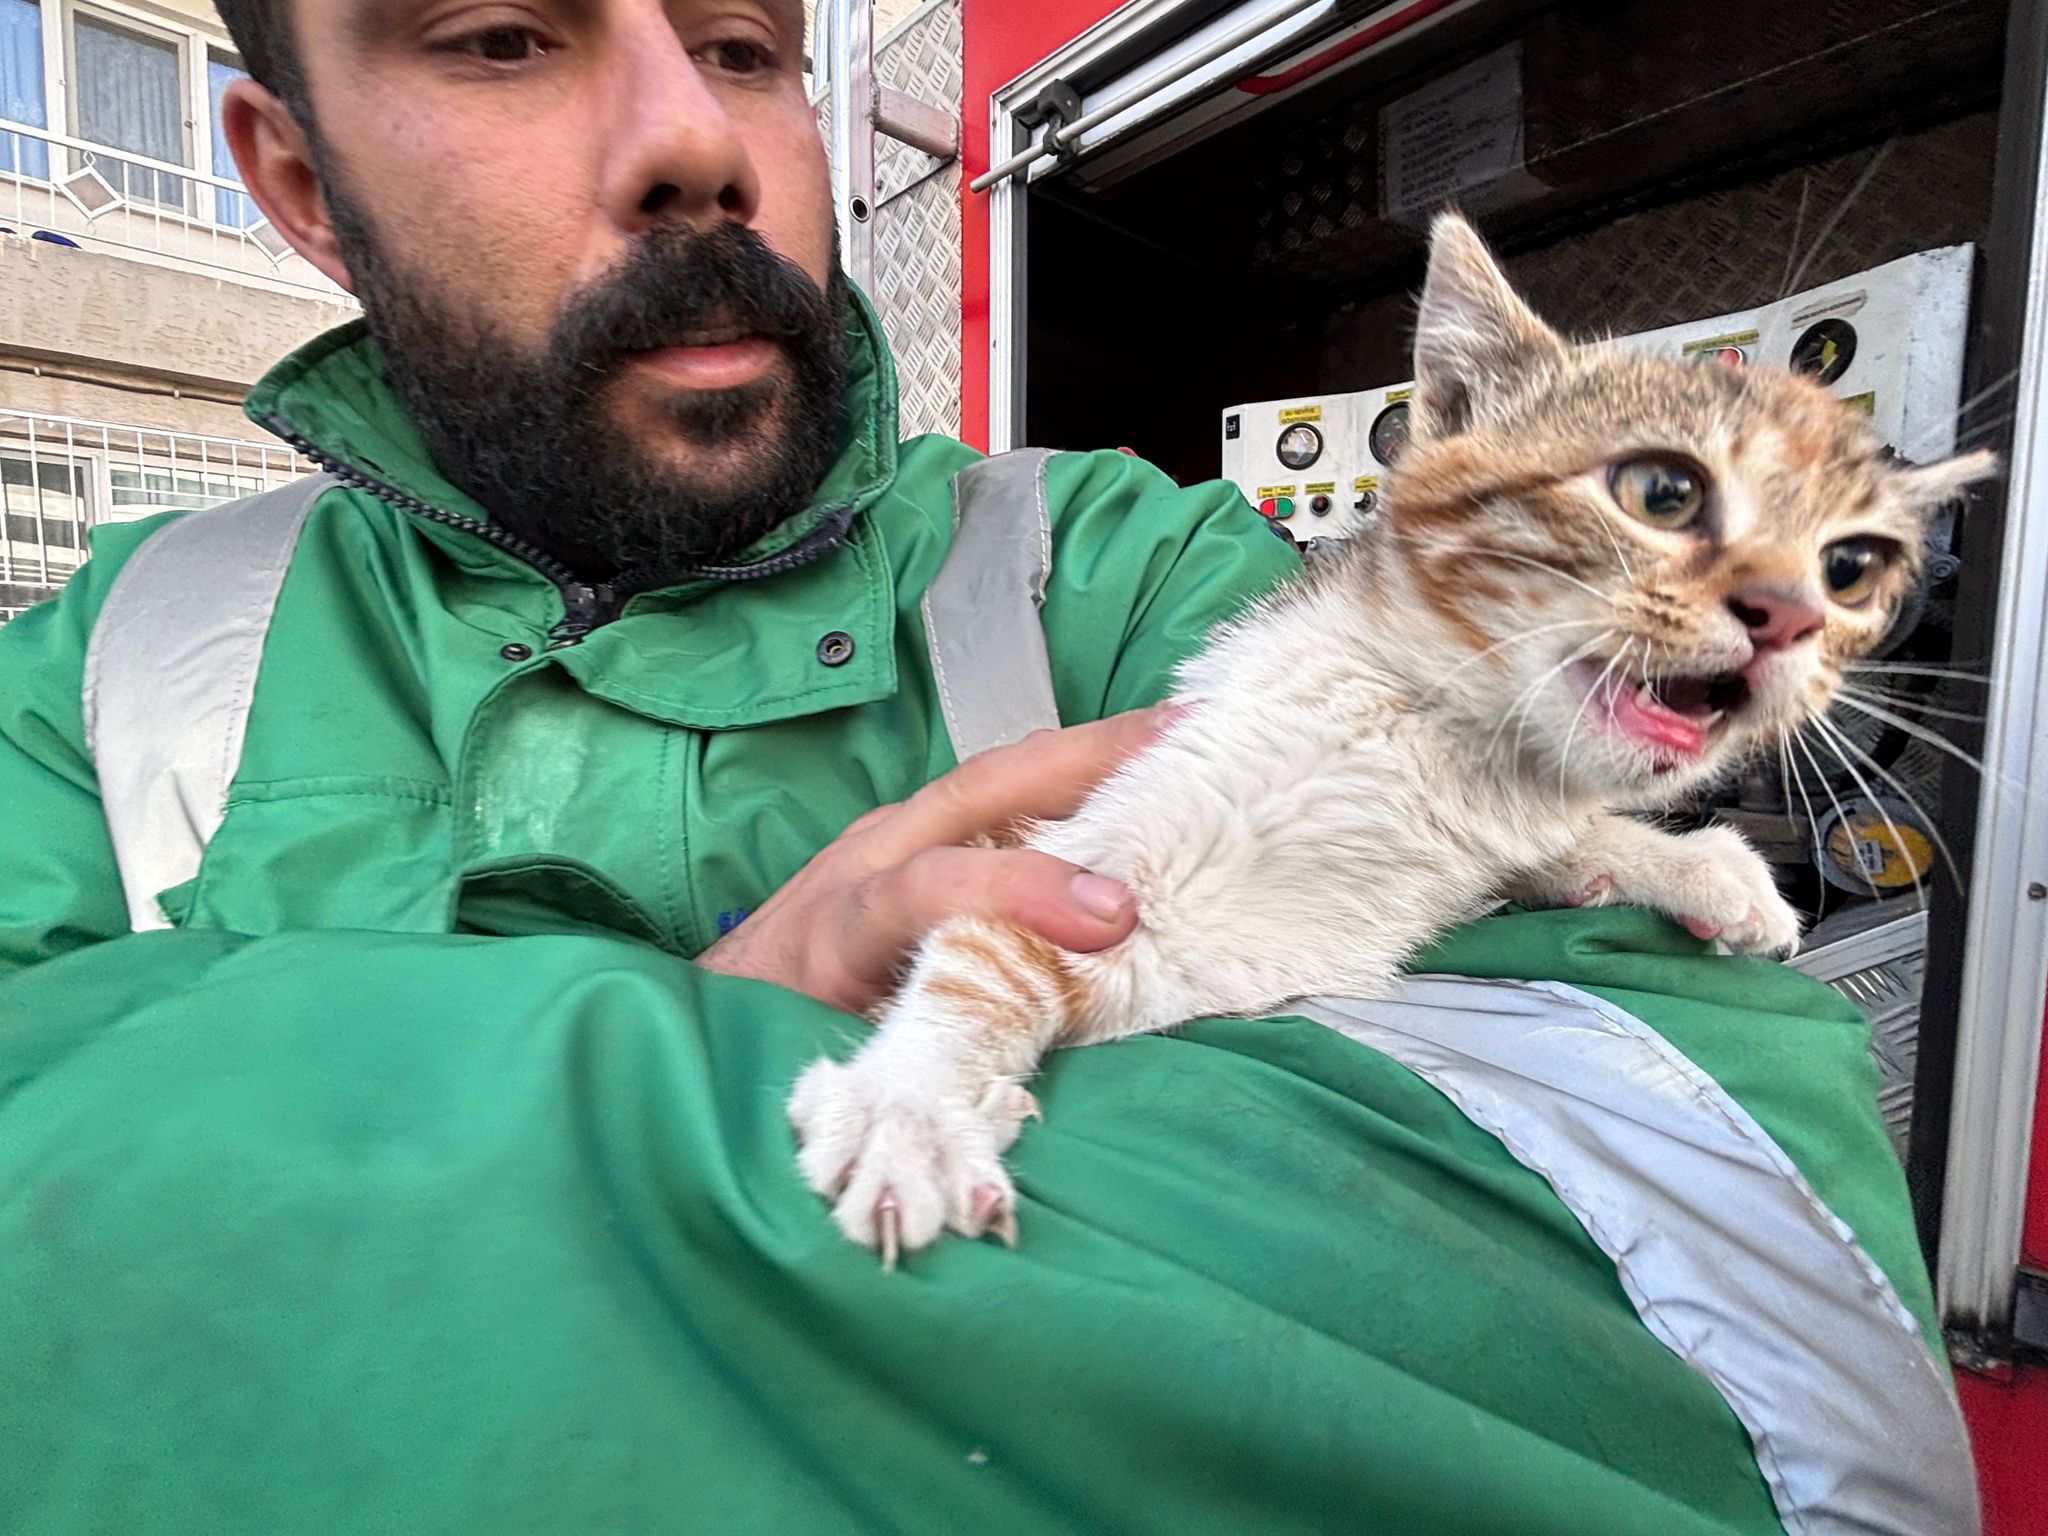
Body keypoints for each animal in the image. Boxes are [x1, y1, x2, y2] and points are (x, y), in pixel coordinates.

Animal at [786, 210, 1998, 1269]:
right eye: (1661, 489)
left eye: (1851, 566)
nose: (1790, 615)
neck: (1434, 750)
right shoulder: (1084, 864)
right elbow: (981, 964)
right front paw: (908, 1108)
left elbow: (1563, 842)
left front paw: (1687, 866)